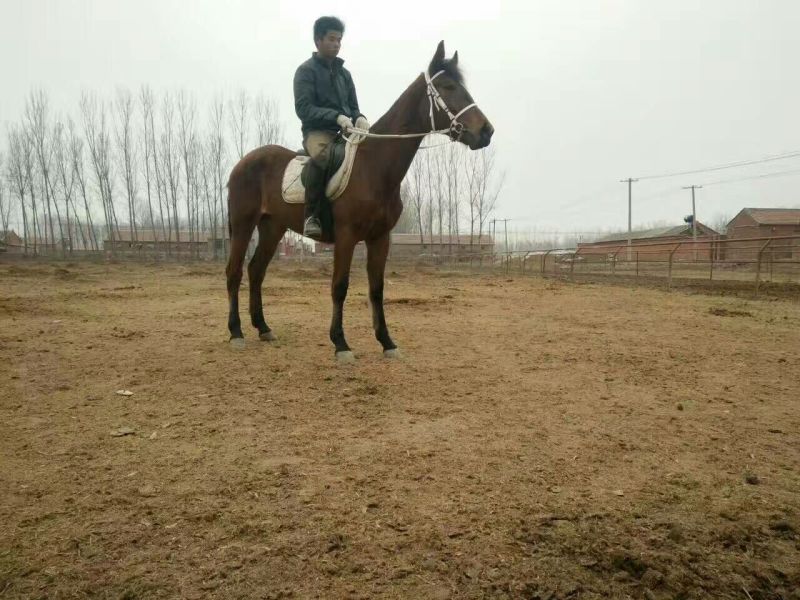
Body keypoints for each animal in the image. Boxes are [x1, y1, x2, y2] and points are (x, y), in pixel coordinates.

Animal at [225, 41, 494, 361]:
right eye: (448, 86)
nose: (486, 131)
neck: (375, 166)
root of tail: (242, 163)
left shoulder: (380, 238)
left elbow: (377, 289)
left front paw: (387, 342)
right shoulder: (346, 236)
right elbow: (339, 286)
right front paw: (341, 344)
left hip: (272, 228)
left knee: (256, 271)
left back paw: (263, 328)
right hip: (243, 224)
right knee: (234, 272)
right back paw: (236, 333)